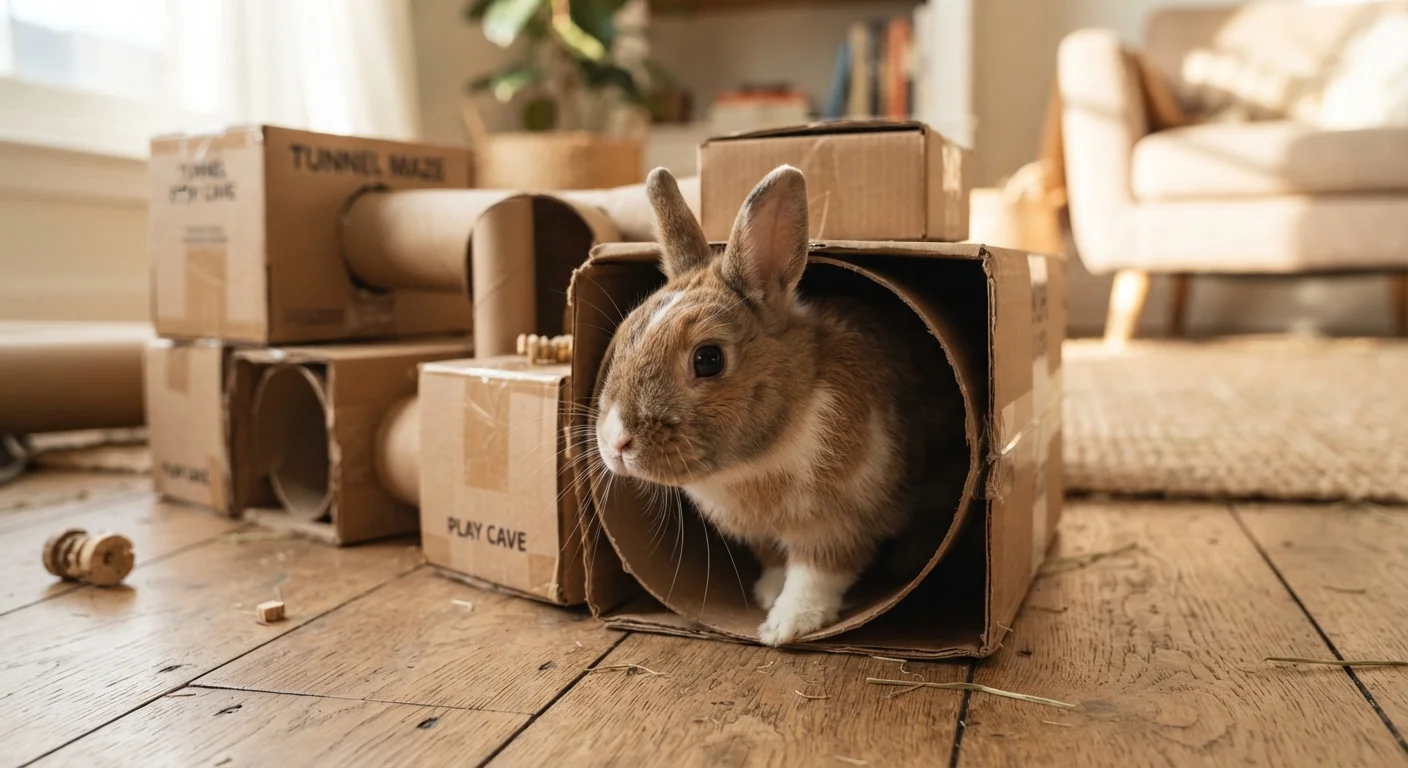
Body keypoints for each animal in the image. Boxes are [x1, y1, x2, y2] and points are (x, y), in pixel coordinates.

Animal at [593, 164, 965, 646]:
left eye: (708, 359)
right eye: (624, 337)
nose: (617, 441)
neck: (757, 458)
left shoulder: (839, 521)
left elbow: (816, 574)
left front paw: (784, 625)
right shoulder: (760, 535)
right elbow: (773, 560)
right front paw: (767, 594)